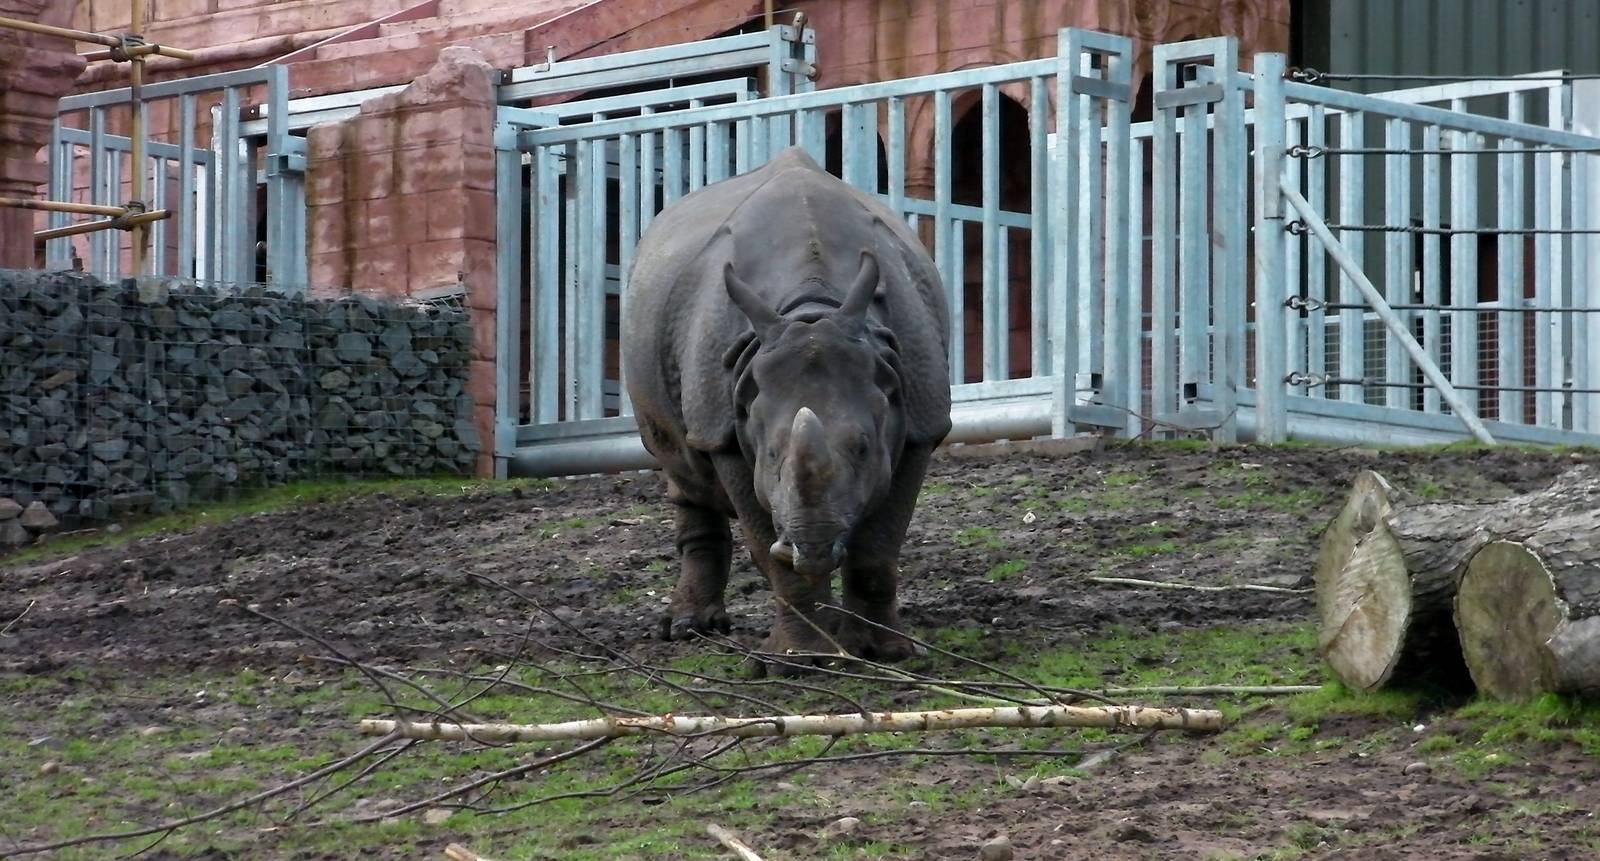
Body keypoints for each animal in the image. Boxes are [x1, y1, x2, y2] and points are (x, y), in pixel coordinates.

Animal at [621, 147, 953, 672]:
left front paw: (888, 654)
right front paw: (795, 662)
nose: (809, 544)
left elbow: (879, 548)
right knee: (679, 466)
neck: (813, 308)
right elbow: (766, 548)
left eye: (864, 448)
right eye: (770, 454)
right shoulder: (723, 428)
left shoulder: (920, 414)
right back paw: (688, 630)